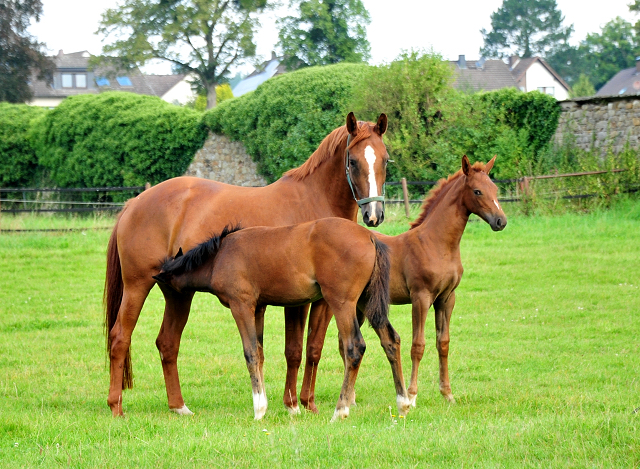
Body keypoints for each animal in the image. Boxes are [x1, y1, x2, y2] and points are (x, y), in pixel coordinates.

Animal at [104, 111, 390, 414]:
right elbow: (294, 351)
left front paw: (308, 403)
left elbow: (314, 348)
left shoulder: (325, 300)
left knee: (167, 343)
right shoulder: (297, 302)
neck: (312, 201)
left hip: (177, 292)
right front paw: (292, 404)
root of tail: (134, 203)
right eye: (353, 161)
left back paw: (179, 407)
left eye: (385, 159)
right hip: (137, 286)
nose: (374, 214)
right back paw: (116, 407)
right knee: (120, 338)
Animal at [151, 218, 410, 420]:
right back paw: (403, 403)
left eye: (166, 290)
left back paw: (340, 410)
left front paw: (259, 409)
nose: (172, 308)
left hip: (342, 302)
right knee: (391, 340)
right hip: (367, 301)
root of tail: (370, 237)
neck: (219, 256)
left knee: (354, 347)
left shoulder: (241, 305)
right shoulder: (258, 308)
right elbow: (260, 352)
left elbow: (250, 353)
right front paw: (266, 403)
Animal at [292, 154, 508, 410]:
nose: (501, 221)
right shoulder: (421, 297)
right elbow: (418, 345)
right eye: (477, 191)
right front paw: (412, 396)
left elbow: (443, 343)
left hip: (360, 306)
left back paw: (350, 398)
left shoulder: (446, 299)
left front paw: (447, 394)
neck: (436, 243)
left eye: (495, 189)